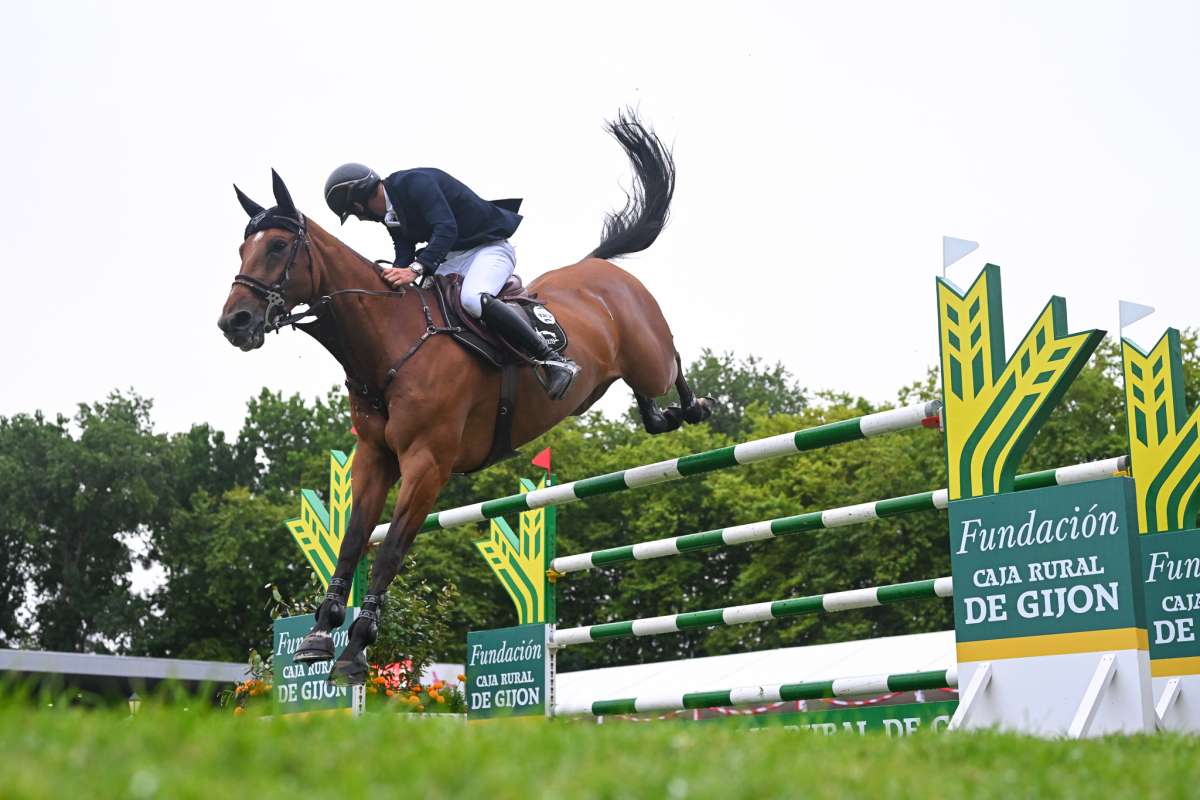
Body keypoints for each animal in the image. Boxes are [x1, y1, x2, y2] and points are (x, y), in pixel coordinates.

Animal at [217, 112, 710, 686]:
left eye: (277, 247)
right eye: (243, 249)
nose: (234, 322)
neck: (388, 344)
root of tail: (601, 268)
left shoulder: (427, 464)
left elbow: (389, 552)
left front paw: (355, 649)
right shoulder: (374, 457)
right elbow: (353, 541)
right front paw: (319, 635)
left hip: (648, 354)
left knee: (673, 362)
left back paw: (693, 407)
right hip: (605, 382)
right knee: (645, 401)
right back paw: (659, 413)